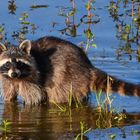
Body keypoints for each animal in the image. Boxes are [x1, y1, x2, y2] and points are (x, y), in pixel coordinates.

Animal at [0, 36, 139, 105]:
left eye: (19, 62)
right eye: (7, 63)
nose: (14, 73)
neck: (18, 78)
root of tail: (88, 66)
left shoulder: (34, 78)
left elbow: (35, 98)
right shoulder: (6, 79)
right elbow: (9, 95)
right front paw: (9, 101)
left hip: (68, 77)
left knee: (59, 95)